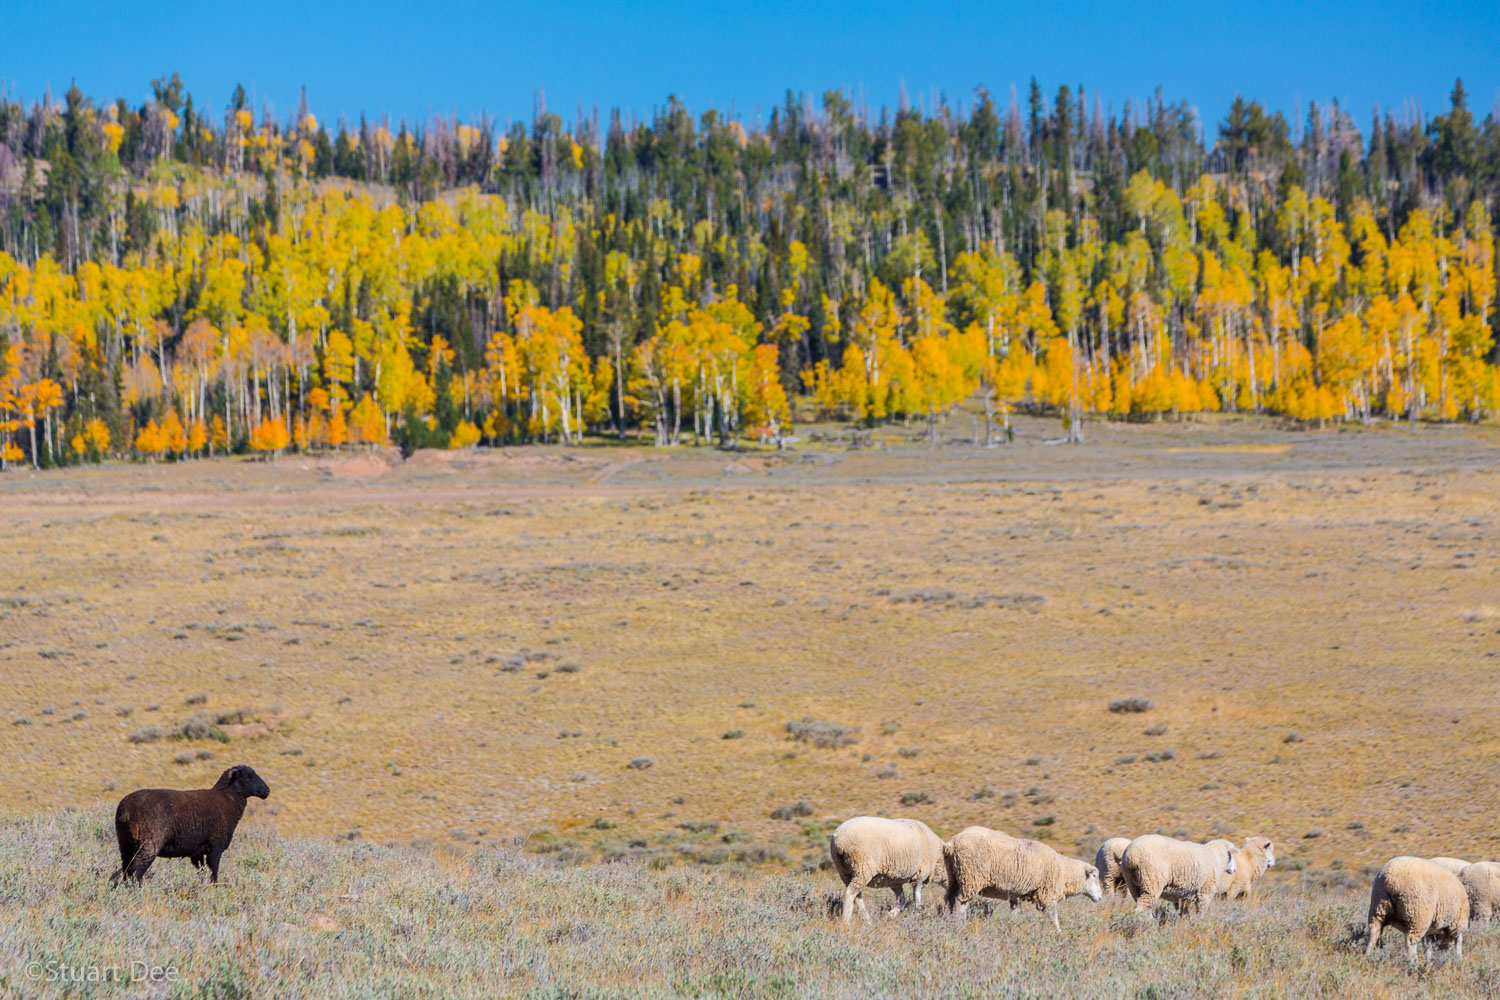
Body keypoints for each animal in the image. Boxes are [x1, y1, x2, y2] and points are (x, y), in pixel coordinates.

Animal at [111, 767, 270, 881]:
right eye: (248, 776)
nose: (267, 791)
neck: (227, 799)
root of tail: (125, 811)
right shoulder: (215, 846)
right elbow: (214, 872)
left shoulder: (197, 852)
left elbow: (201, 872)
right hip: (149, 842)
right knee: (136, 871)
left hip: (125, 842)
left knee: (126, 869)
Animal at [942, 827, 1110, 935]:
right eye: (1094, 877)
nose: (1101, 897)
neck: (1064, 871)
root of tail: (953, 842)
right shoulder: (1047, 894)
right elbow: (1052, 916)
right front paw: (1058, 932)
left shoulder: (1015, 895)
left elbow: (1016, 914)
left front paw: (1015, 929)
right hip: (971, 877)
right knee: (962, 903)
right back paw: (961, 926)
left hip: (954, 878)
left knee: (950, 900)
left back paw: (947, 921)